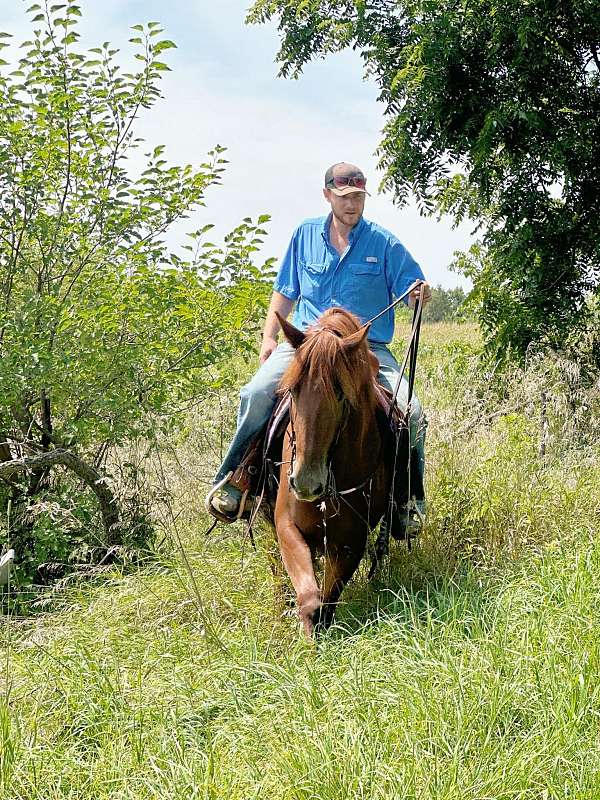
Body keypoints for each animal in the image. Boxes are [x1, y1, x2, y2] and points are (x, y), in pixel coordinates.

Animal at [270, 306, 400, 636]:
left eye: (341, 394)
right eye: (292, 390)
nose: (306, 483)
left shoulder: (349, 543)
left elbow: (326, 603)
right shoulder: (287, 526)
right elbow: (309, 598)